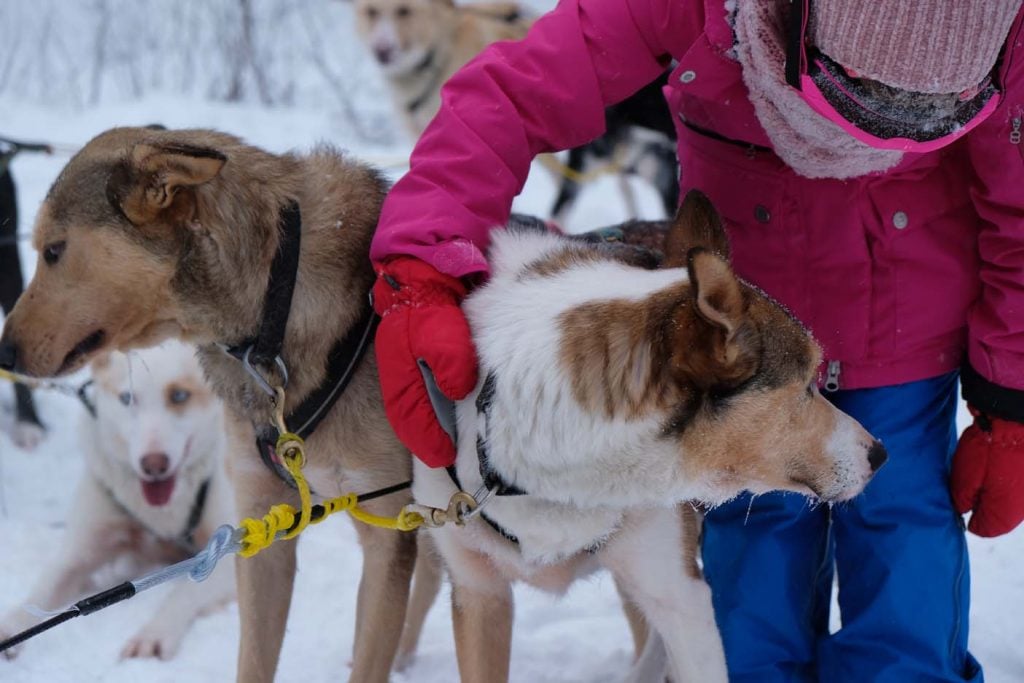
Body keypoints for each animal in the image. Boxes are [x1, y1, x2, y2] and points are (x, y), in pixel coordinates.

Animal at [0, 342, 234, 663]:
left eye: (179, 395)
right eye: (127, 399)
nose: (153, 464)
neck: (158, 514)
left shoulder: (226, 555)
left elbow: (184, 591)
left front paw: (153, 633)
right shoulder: (80, 552)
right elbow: (43, 589)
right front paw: (12, 626)